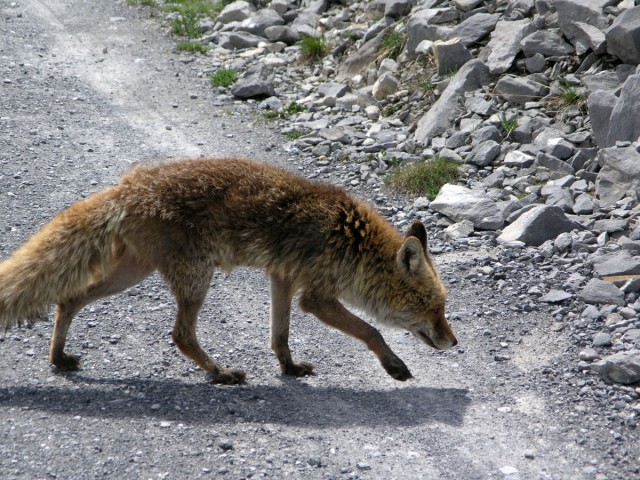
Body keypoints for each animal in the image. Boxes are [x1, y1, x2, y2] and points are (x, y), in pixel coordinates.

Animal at [1, 159, 460, 384]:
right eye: (433, 309)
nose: (454, 343)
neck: (352, 243)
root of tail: (126, 187)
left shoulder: (282, 278)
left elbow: (279, 336)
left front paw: (288, 369)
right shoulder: (316, 297)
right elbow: (372, 331)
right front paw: (394, 366)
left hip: (134, 273)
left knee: (68, 298)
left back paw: (58, 358)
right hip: (194, 278)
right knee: (181, 336)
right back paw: (220, 374)